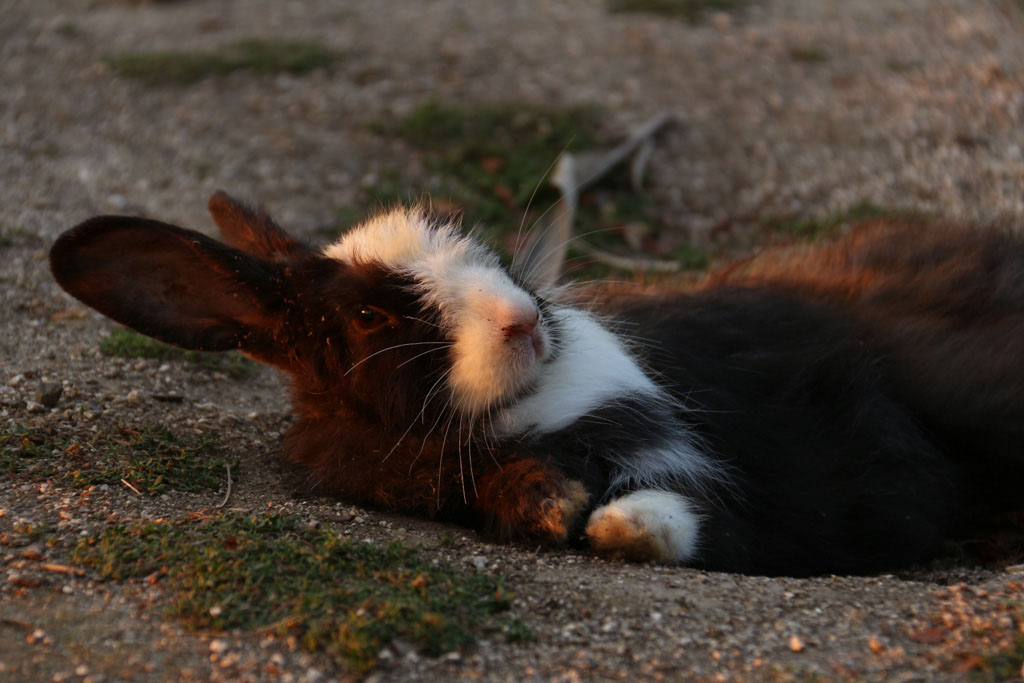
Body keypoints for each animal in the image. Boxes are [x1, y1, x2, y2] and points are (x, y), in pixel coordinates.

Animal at [49, 190, 1024, 576]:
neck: (507, 419)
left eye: (464, 232)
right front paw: (555, 506)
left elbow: (712, 506)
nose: (521, 320)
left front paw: (623, 525)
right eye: (366, 315)